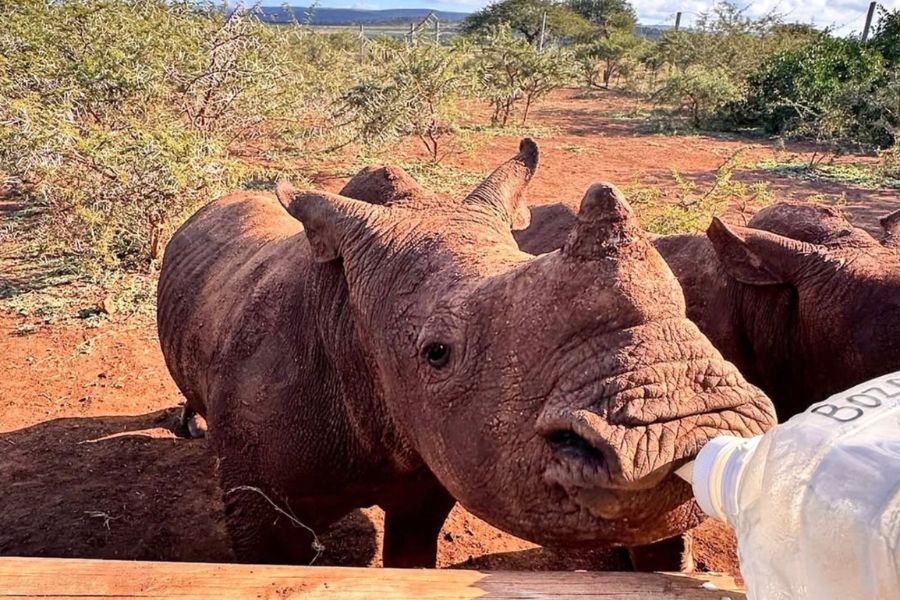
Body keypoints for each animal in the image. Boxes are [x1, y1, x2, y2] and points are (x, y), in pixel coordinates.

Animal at [157, 140, 774, 568]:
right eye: (436, 354)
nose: (689, 429)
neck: (351, 323)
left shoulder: (431, 463)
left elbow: (412, 554)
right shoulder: (258, 506)